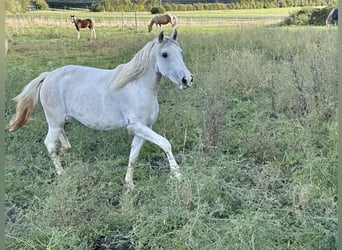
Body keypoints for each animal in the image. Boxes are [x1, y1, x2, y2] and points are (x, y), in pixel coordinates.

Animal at [8, 29, 192, 189]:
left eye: (181, 52)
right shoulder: (137, 127)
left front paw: (129, 185)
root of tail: (47, 76)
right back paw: (62, 173)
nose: (187, 80)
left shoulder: (143, 128)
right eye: (164, 54)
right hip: (54, 121)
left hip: (59, 121)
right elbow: (165, 144)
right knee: (50, 144)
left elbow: (133, 156)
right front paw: (178, 175)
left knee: (60, 138)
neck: (138, 86)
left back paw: (65, 149)